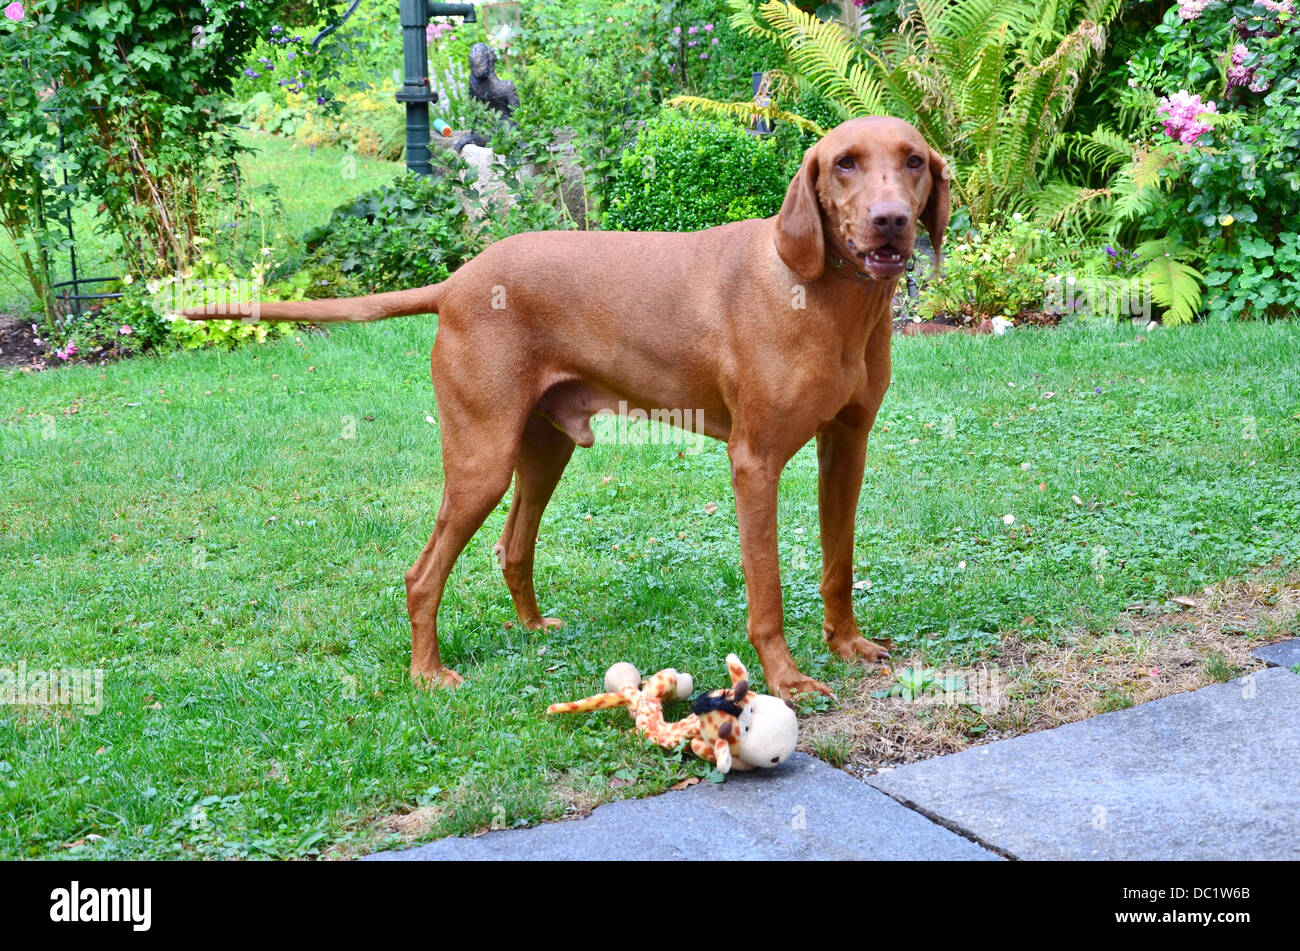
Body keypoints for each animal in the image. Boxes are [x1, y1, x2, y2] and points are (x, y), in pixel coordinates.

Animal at [185, 118, 946, 696]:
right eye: (845, 163)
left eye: (913, 160)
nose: (889, 222)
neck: (826, 298)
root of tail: (458, 279)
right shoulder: (754, 463)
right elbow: (767, 593)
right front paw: (785, 680)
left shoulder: (847, 447)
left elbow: (838, 565)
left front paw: (847, 644)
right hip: (482, 459)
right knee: (421, 573)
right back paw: (429, 673)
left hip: (542, 448)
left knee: (512, 546)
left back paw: (530, 628)